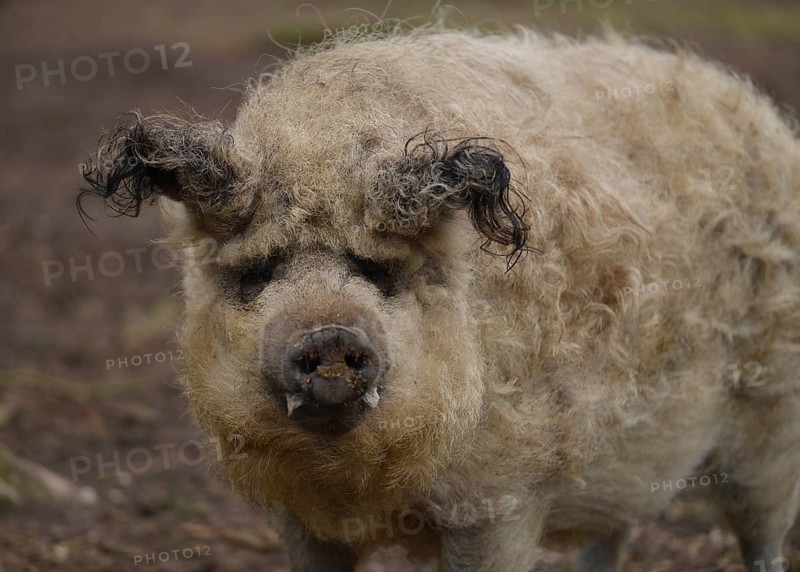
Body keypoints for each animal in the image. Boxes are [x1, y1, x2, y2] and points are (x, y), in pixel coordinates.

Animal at [80, 28, 800, 572]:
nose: (330, 334)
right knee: (612, 536)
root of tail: (760, 114)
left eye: (379, 272)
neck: (360, 488)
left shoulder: (502, 499)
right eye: (258, 273)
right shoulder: (298, 517)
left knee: (762, 531)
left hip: (772, 415)